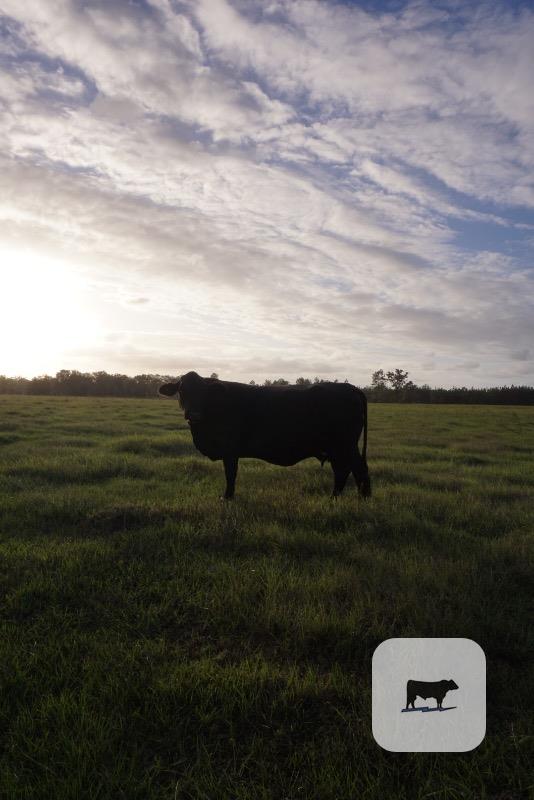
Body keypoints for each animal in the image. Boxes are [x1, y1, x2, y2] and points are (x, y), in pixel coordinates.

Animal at [159, 371, 371, 500]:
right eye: (181, 390)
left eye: (205, 393)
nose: (193, 414)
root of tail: (350, 388)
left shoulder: (230, 450)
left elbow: (230, 474)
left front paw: (227, 497)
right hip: (337, 448)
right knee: (344, 470)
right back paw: (338, 498)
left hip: (344, 446)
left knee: (356, 469)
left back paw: (361, 499)